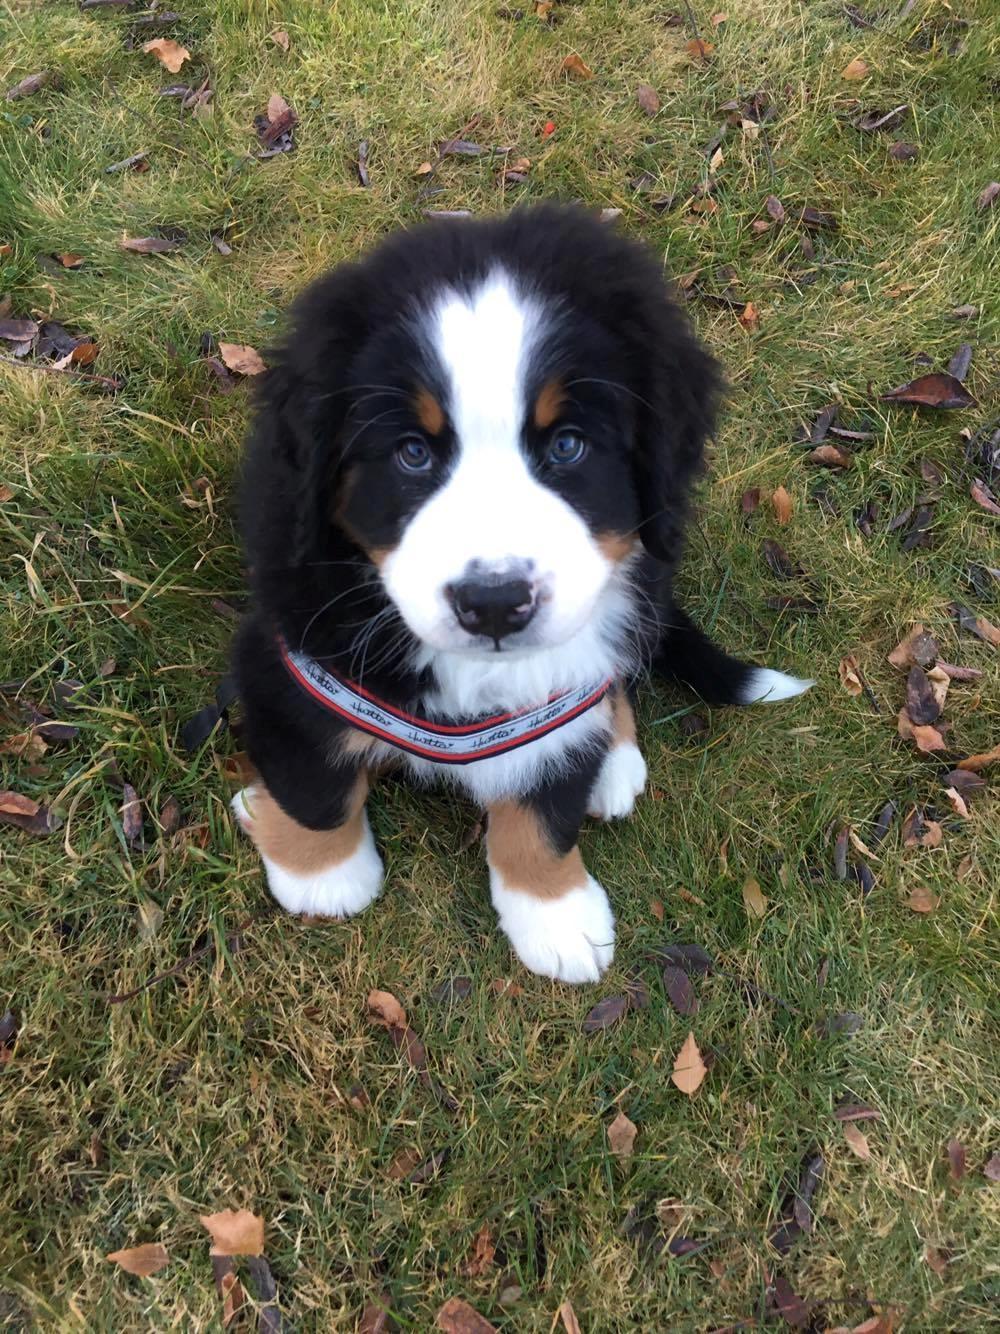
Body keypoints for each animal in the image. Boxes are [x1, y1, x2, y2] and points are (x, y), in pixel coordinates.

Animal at [229, 202, 816, 987]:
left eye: (567, 445)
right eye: (412, 453)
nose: (495, 603)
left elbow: (543, 803)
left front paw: (555, 912)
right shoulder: (291, 656)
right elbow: (316, 779)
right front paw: (322, 873)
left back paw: (614, 758)